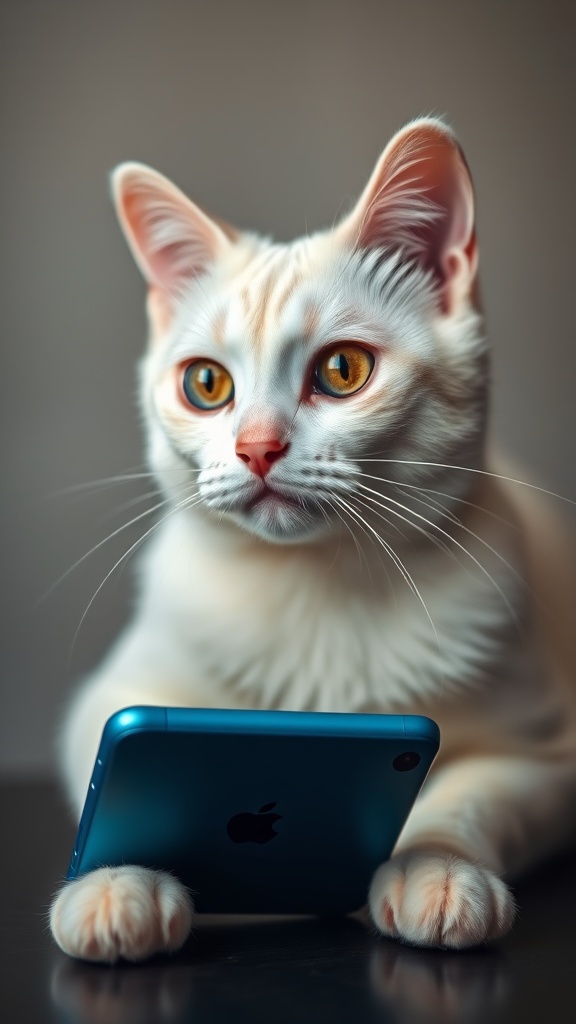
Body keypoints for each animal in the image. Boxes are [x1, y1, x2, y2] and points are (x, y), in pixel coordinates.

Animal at [48, 117, 573, 958]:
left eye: (344, 369)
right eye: (205, 384)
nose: (257, 448)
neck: (318, 585)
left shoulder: (546, 754)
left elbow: (469, 794)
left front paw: (437, 868)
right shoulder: (113, 700)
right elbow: (115, 773)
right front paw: (112, 884)